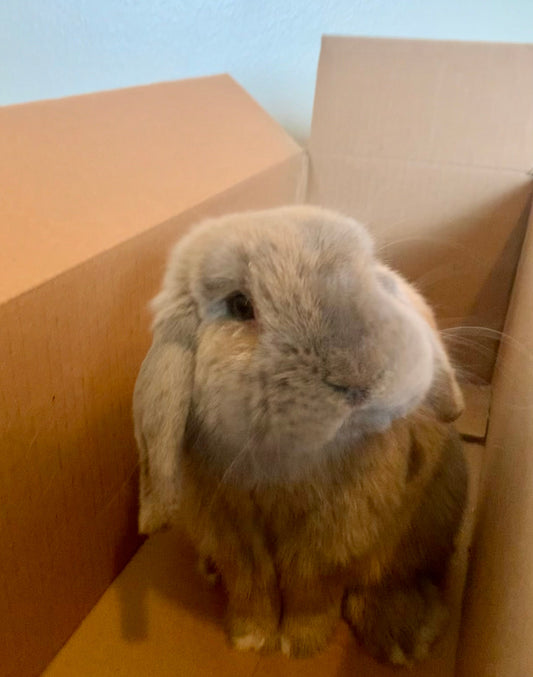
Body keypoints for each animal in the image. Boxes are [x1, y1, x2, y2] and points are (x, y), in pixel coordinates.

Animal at [133, 205, 468, 665]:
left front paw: (300, 644)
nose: (358, 379)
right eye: (240, 305)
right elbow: (251, 582)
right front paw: (251, 637)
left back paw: (405, 637)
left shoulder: (337, 532)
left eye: (373, 278)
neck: (288, 463)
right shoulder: (230, 530)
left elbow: (311, 586)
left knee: (390, 575)